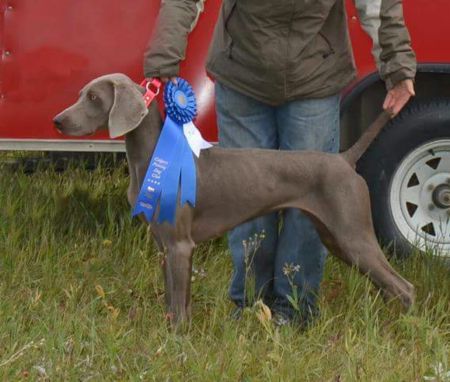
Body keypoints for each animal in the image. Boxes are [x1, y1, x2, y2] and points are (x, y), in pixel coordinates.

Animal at [54, 74, 416, 326]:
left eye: (94, 97)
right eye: (81, 94)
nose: (57, 121)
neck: (154, 155)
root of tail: (345, 158)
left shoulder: (180, 245)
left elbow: (179, 305)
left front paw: (177, 343)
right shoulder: (165, 246)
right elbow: (174, 300)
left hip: (353, 235)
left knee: (404, 287)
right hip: (337, 237)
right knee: (388, 286)